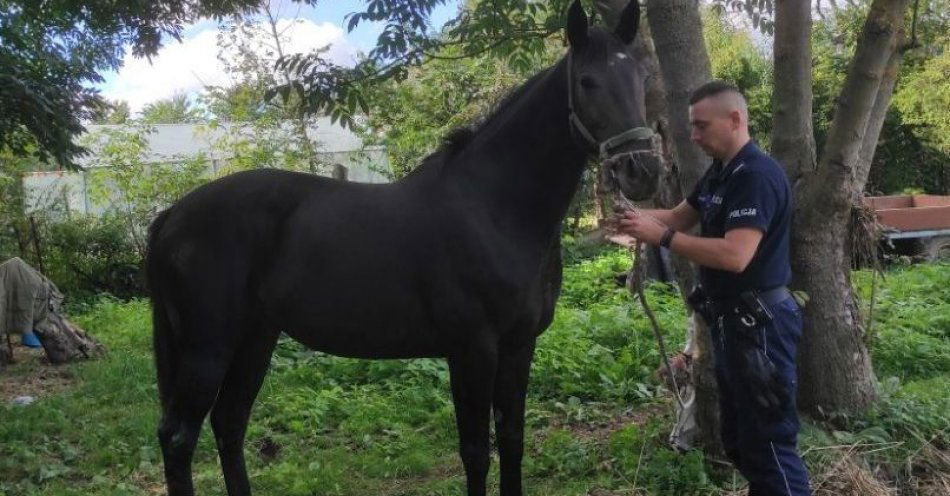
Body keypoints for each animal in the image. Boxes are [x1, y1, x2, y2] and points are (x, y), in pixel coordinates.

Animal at [149, 1, 660, 494]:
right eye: (587, 81)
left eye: (641, 77)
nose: (641, 169)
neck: (492, 208)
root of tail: (173, 214)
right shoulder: (471, 349)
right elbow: (476, 452)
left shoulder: (520, 345)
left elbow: (513, 442)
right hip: (208, 347)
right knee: (178, 438)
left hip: (255, 338)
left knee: (229, 423)